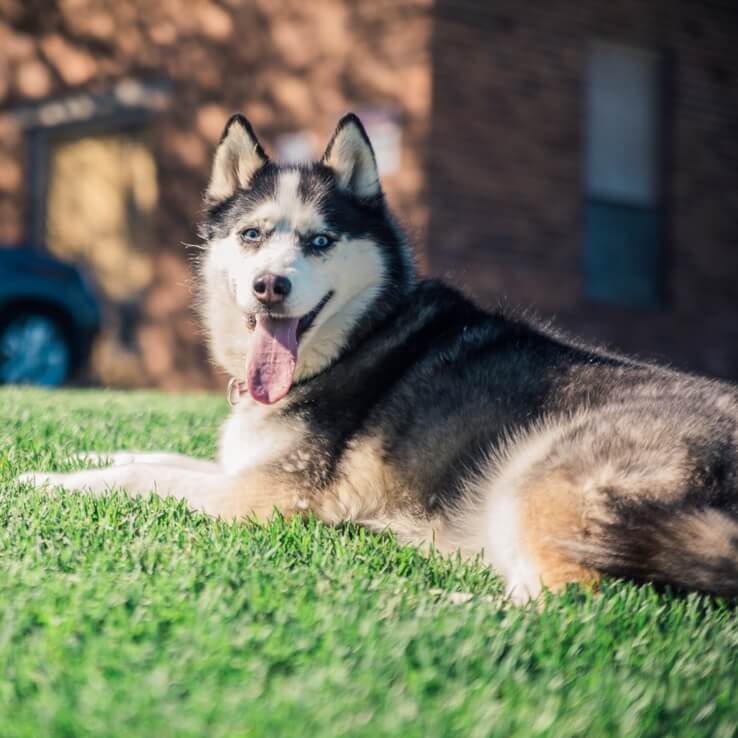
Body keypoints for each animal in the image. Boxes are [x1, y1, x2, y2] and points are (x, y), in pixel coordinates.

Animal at [20, 113, 736, 600]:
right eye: (251, 235)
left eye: (320, 241)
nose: (269, 286)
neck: (359, 338)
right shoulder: (245, 465)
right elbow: (149, 454)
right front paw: (72, 458)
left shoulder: (268, 494)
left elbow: (146, 477)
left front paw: (51, 483)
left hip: (538, 476)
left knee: (569, 602)